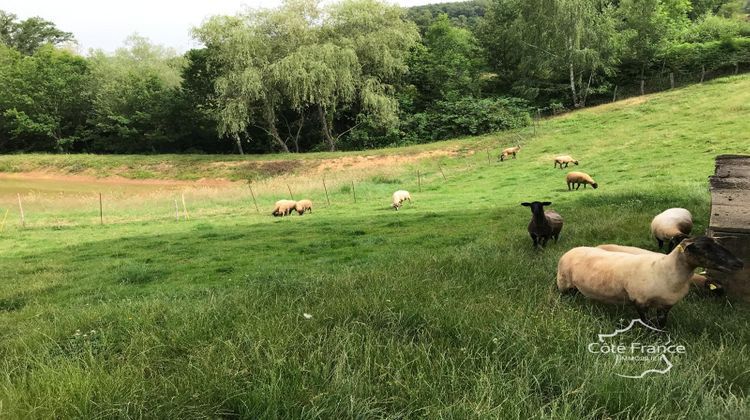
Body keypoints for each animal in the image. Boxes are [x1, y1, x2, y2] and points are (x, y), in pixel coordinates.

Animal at [556, 236, 744, 328]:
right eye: (703, 248)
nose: (739, 263)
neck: (666, 270)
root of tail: (571, 250)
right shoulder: (639, 301)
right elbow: (646, 322)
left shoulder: (666, 305)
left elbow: (661, 324)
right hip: (562, 283)